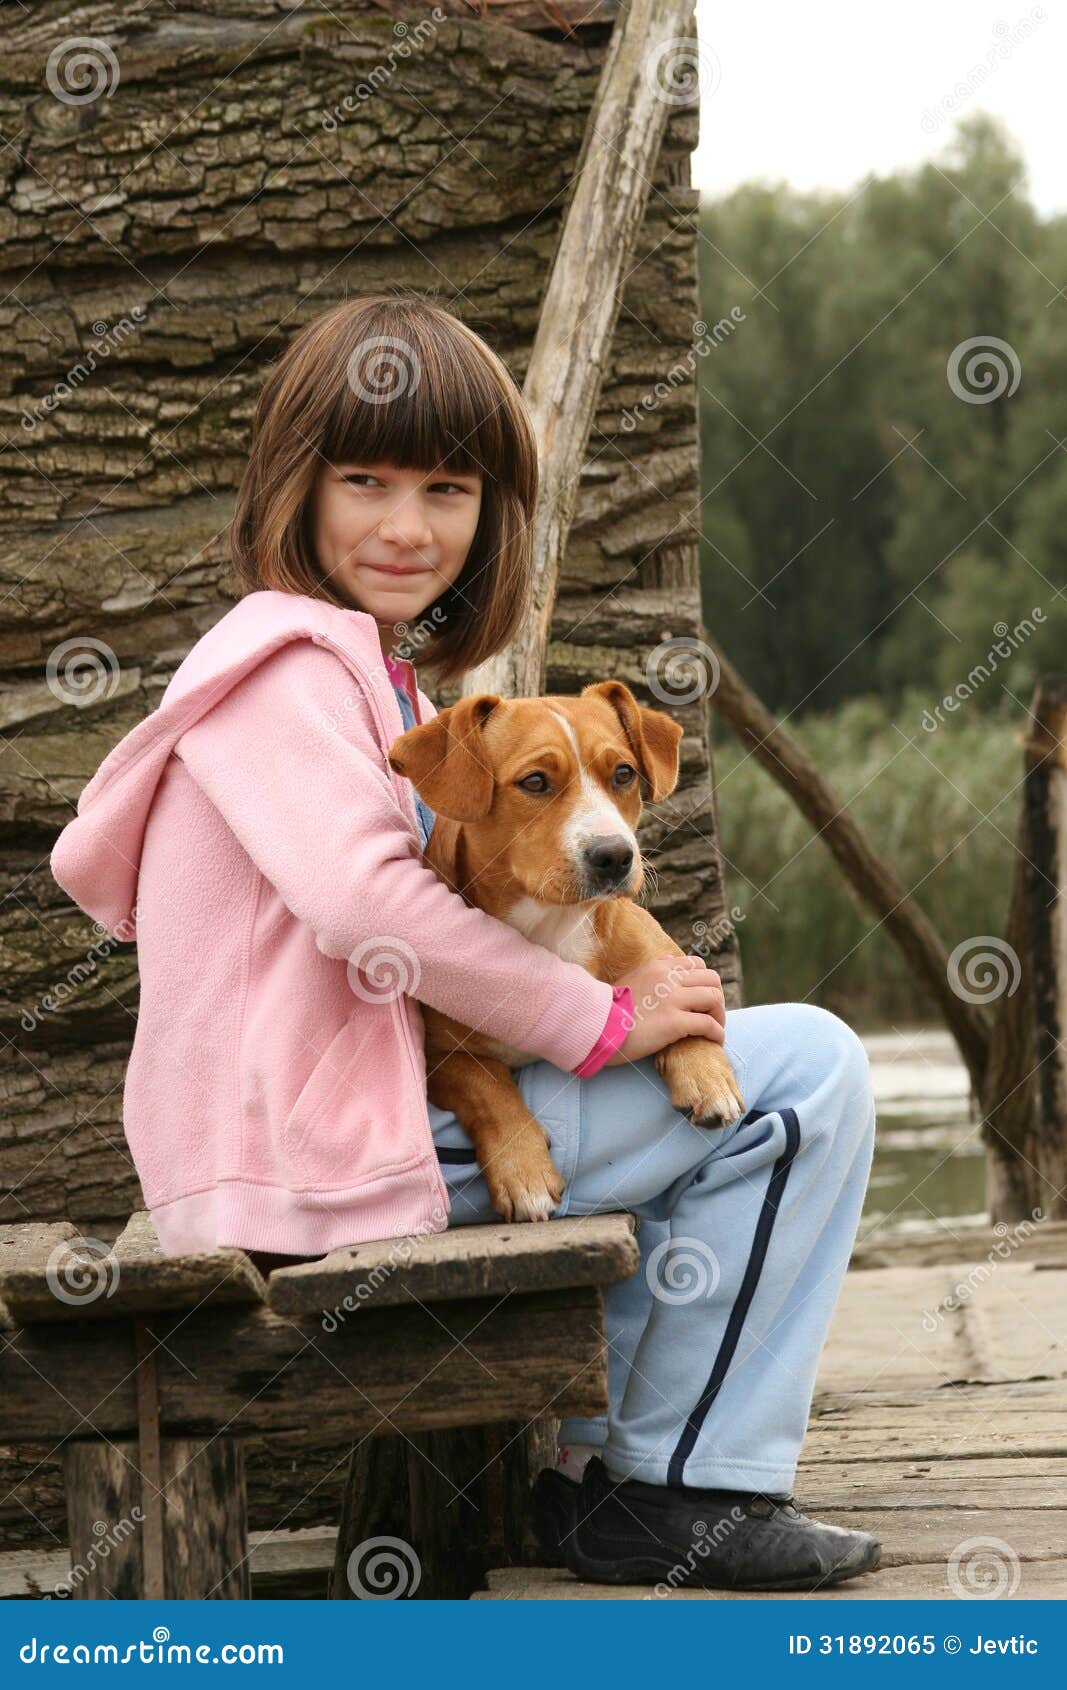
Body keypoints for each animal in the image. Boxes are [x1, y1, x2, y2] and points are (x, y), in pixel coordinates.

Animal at [383, 679, 744, 1223]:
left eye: (623, 774)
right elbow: (486, 1086)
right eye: (535, 782)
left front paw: (706, 1075)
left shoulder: (669, 961)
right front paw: (523, 1170)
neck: (553, 927)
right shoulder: (440, 1056)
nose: (615, 855)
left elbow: (686, 1010)